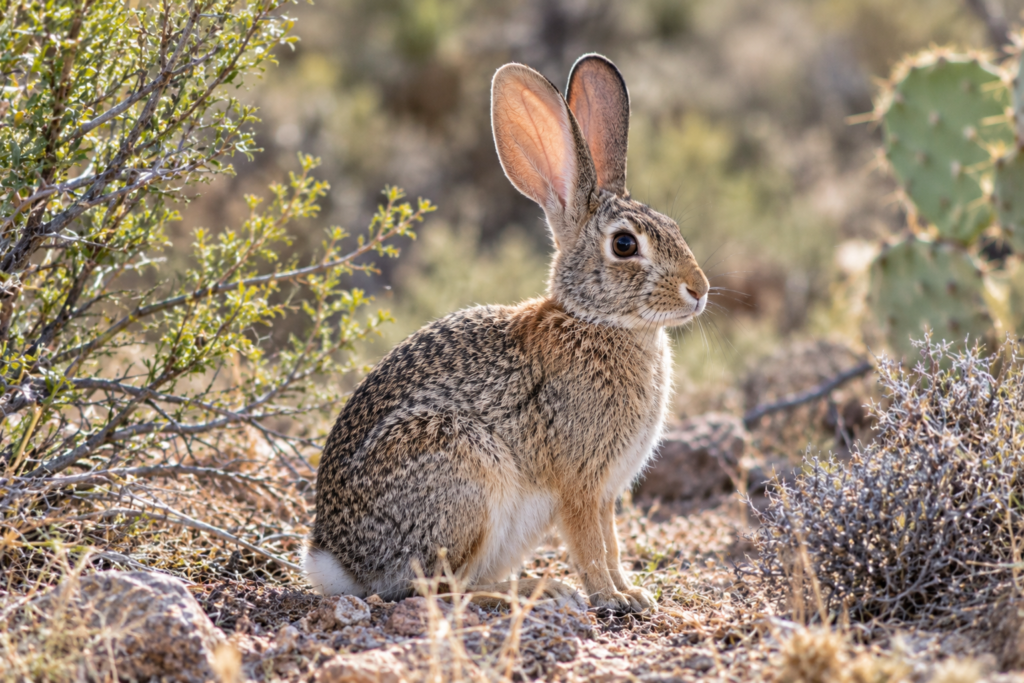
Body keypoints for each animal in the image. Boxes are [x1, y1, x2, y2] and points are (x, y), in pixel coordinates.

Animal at [305, 53, 709, 614]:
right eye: (625, 245)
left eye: (673, 226)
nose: (700, 290)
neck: (595, 320)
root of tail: (337, 564)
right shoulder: (579, 484)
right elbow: (590, 545)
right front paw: (611, 598)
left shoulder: (607, 492)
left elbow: (611, 543)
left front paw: (633, 592)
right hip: (463, 475)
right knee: (437, 588)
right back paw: (529, 595)